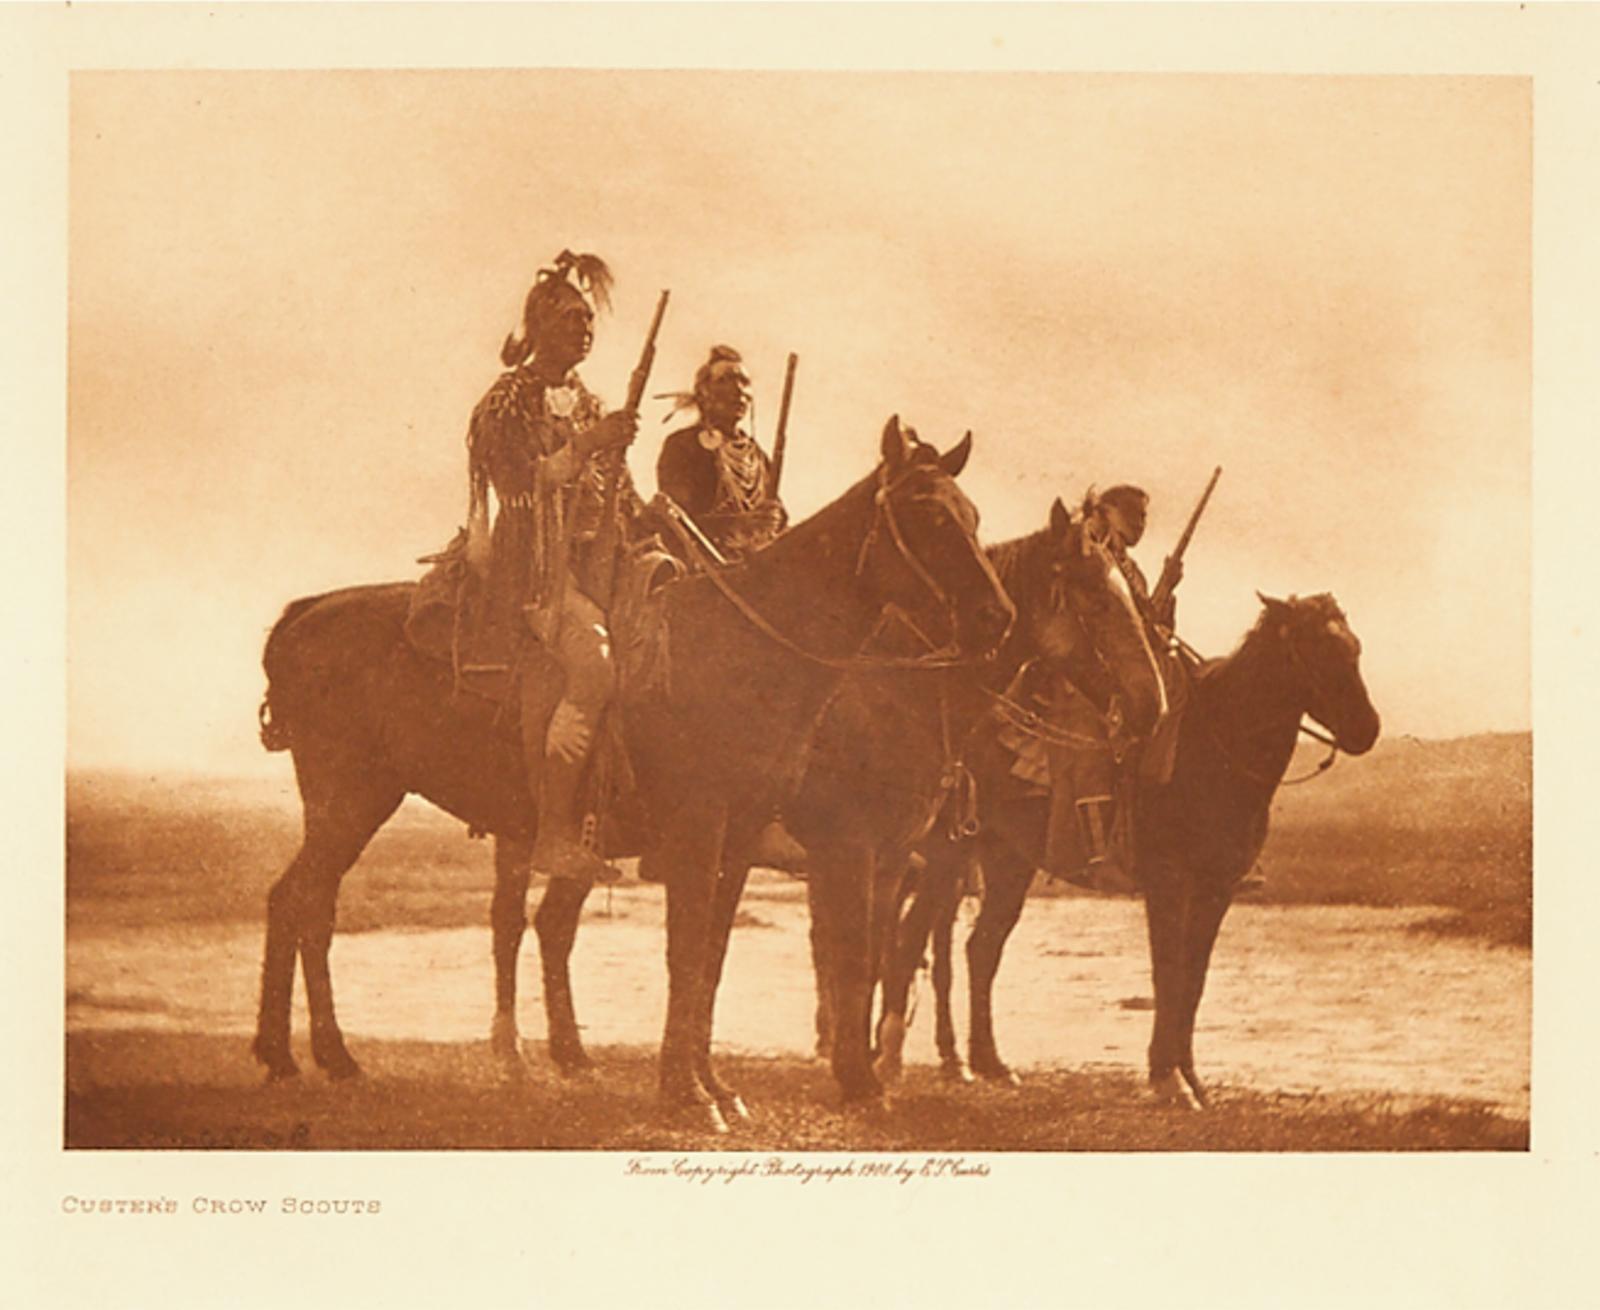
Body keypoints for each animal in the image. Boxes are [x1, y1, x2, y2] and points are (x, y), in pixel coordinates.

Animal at [257, 415, 1017, 1132]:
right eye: (928, 514)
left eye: (973, 515)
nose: (997, 617)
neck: (744, 653)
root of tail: (303, 615)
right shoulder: (716, 832)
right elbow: (697, 952)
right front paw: (688, 1093)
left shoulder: (744, 837)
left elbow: (713, 955)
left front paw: (716, 1086)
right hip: (349, 799)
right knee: (306, 902)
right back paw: (328, 1054)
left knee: (304, 901)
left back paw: (299, 1055)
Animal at [876, 591, 1376, 1106]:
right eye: (1317, 650)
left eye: (1354, 649)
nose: (1367, 729)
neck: (1212, 747)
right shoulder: (1168, 882)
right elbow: (1168, 972)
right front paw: (1167, 1079)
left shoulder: (1216, 889)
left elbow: (1193, 978)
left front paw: (1191, 1078)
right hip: (949, 853)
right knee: (912, 938)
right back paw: (892, 1061)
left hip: (1007, 861)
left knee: (981, 948)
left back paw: (988, 1062)